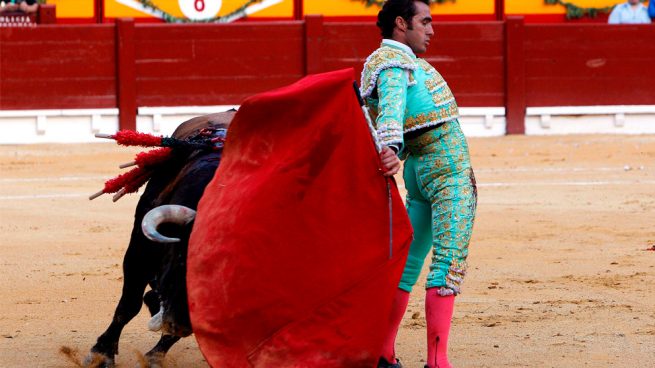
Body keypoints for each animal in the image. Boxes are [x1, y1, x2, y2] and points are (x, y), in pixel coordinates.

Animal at [83, 111, 234, 368]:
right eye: (183, 258)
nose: (180, 322)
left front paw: (155, 355)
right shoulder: (138, 249)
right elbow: (129, 303)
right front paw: (101, 353)